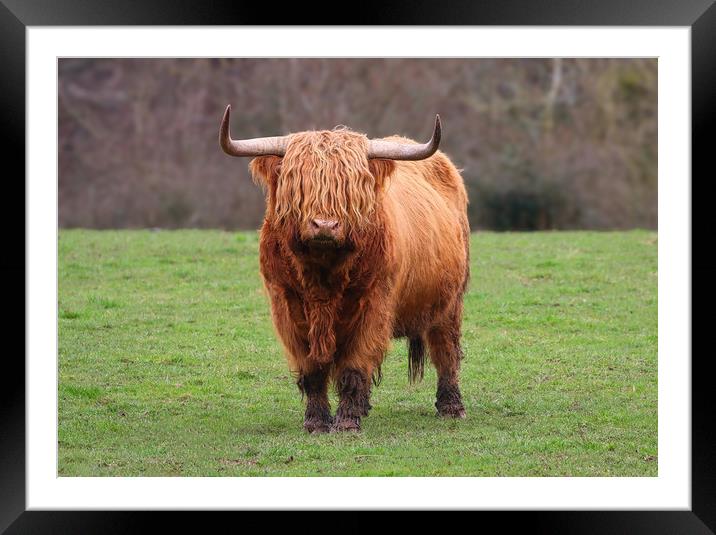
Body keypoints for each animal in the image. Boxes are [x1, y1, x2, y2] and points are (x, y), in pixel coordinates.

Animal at [221, 105, 472, 436]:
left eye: (350, 186)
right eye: (300, 182)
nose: (325, 225)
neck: (323, 275)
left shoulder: (373, 303)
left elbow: (354, 364)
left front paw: (347, 422)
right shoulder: (286, 305)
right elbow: (312, 369)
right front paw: (316, 422)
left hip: (450, 301)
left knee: (446, 351)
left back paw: (451, 407)